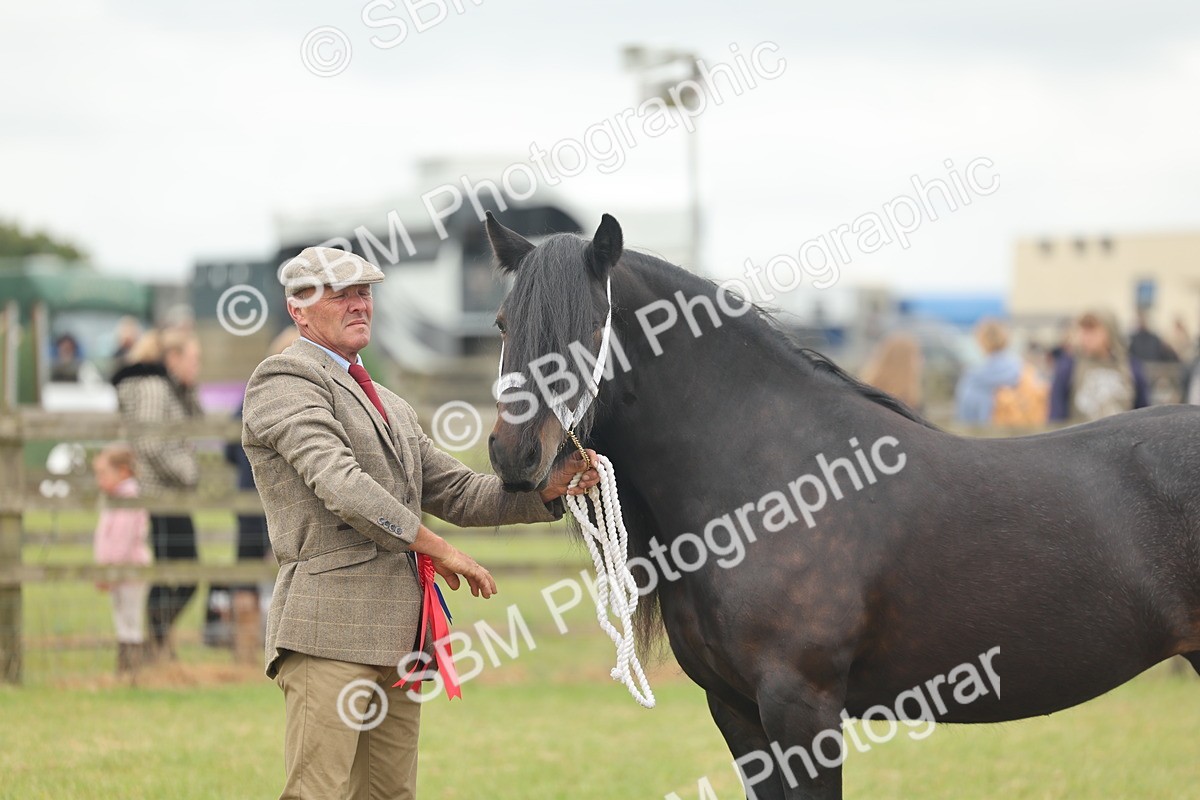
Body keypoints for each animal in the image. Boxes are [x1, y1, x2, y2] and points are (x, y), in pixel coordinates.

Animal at [483, 212, 1200, 799]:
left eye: (591, 327)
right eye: (502, 323)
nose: (515, 455)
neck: (771, 480)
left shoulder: (802, 707)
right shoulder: (737, 711)